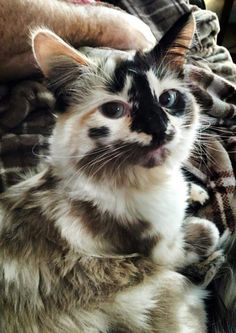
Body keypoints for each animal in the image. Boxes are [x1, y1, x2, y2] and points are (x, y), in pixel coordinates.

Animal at [0, 13, 221, 332]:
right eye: (115, 110)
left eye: (167, 99)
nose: (159, 129)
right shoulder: (160, 251)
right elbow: (192, 239)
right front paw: (205, 231)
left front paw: (195, 192)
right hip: (168, 290)